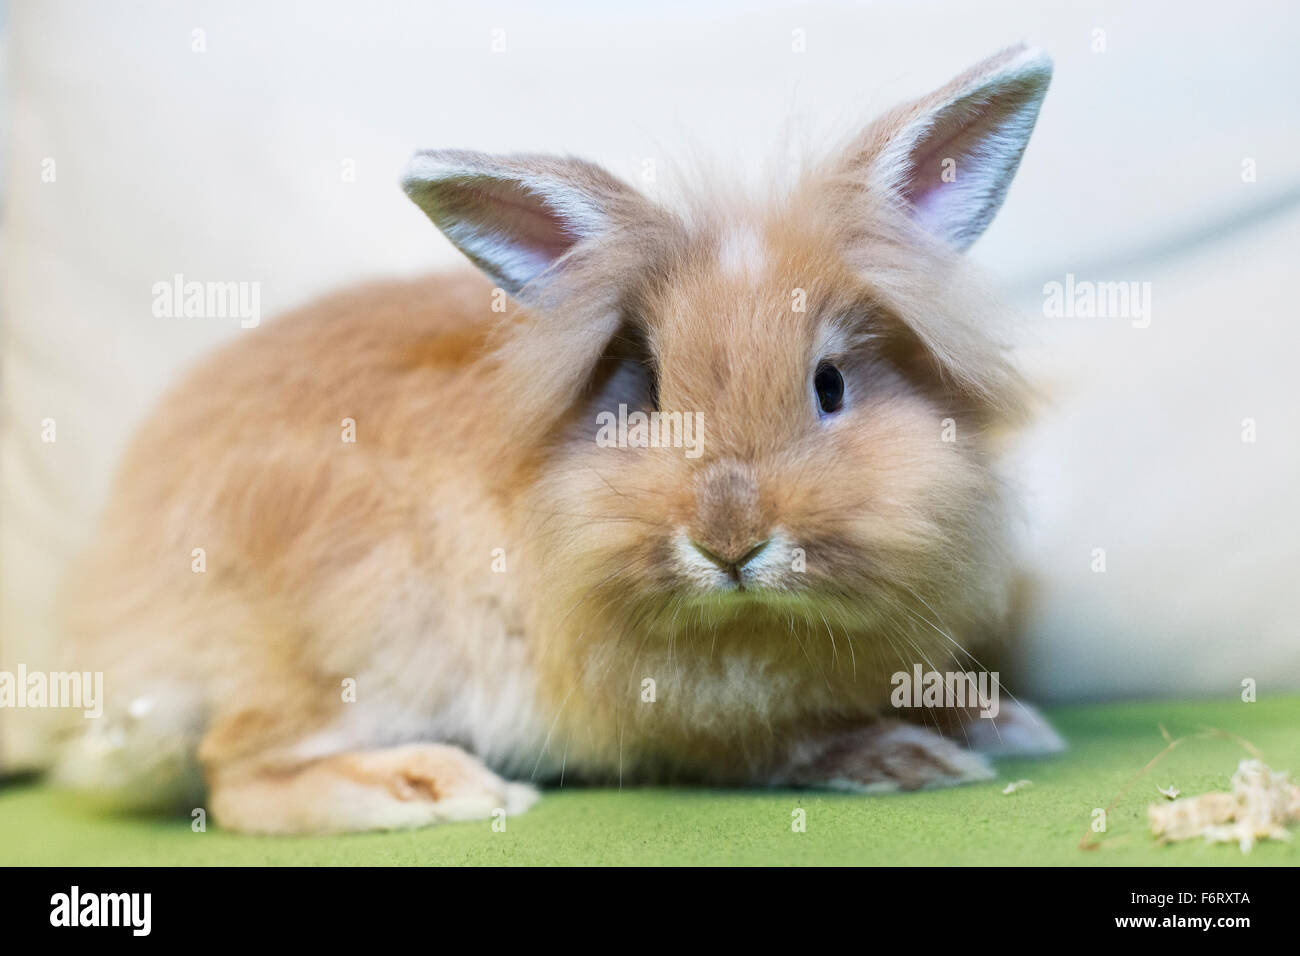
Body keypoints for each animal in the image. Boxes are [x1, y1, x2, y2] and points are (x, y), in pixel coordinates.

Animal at [55, 44, 1063, 834]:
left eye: (831, 385)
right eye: (645, 389)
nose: (730, 541)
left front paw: (1007, 724)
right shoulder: (683, 718)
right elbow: (783, 744)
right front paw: (909, 758)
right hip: (354, 639)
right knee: (235, 774)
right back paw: (433, 789)